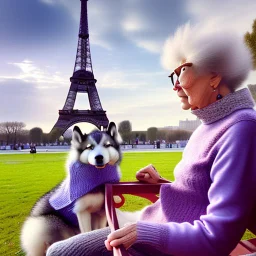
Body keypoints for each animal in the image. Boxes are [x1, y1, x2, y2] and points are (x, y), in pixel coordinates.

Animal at [20, 122, 122, 256]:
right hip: (52, 222)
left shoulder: (101, 213)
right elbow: (86, 232)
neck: (97, 182)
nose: (99, 157)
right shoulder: (82, 211)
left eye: (107, 145)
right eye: (89, 147)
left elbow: (95, 230)